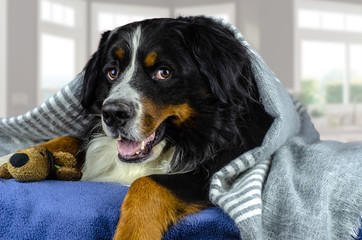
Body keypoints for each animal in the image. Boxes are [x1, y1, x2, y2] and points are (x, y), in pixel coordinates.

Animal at [79, 16, 272, 240]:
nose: (112, 114)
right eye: (112, 72)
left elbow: (147, 183)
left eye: (164, 73)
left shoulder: (219, 174)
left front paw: (132, 233)